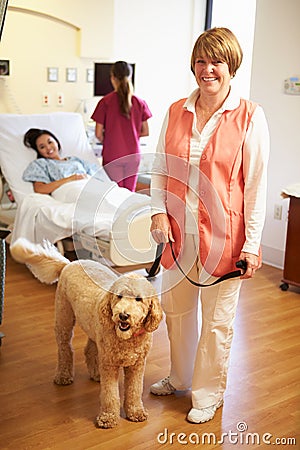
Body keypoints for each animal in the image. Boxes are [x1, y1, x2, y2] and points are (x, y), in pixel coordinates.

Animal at [10, 237, 163, 428]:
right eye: (119, 296)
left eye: (139, 299)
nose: (123, 315)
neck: (126, 339)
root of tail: (70, 263)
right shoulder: (109, 365)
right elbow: (110, 395)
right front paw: (108, 418)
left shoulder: (137, 365)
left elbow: (135, 390)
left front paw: (135, 412)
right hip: (64, 318)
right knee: (65, 349)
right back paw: (63, 376)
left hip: (92, 329)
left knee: (89, 349)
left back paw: (96, 374)